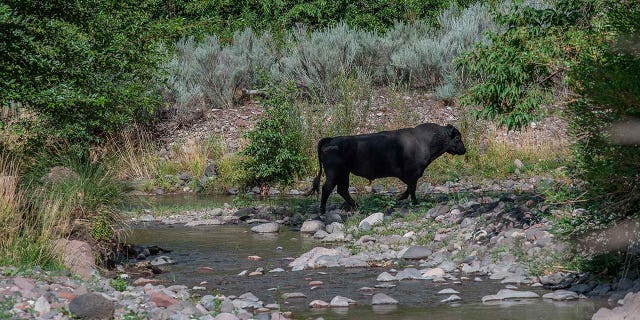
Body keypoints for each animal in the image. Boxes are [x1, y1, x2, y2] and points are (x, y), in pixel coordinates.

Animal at [304, 124, 464, 214]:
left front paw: (400, 198)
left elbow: (410, 188)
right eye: (457, 138)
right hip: (334, 173)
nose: (464, 149)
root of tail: (330, 140)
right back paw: (323, 211)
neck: (424, 140)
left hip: (344, 173)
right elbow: (412, 188)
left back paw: (357, 205)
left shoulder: (412, 175)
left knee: (342, 190)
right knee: (327, 188)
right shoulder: (413, 173)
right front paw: (411, 201)